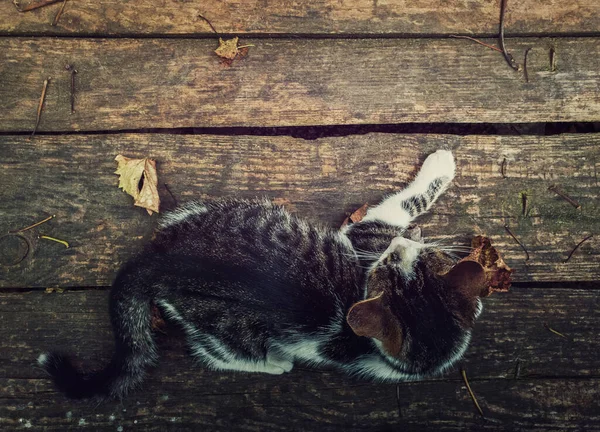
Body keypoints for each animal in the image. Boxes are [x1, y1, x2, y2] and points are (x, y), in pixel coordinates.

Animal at [38, 150, 488, 400]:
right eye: (398, 266)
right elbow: (408, 201)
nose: (399, 249)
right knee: (215, 355)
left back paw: (272, 361)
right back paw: (275, 364)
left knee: (216, 352)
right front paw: (441, 164)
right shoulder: (364, 237)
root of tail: (160, 262)